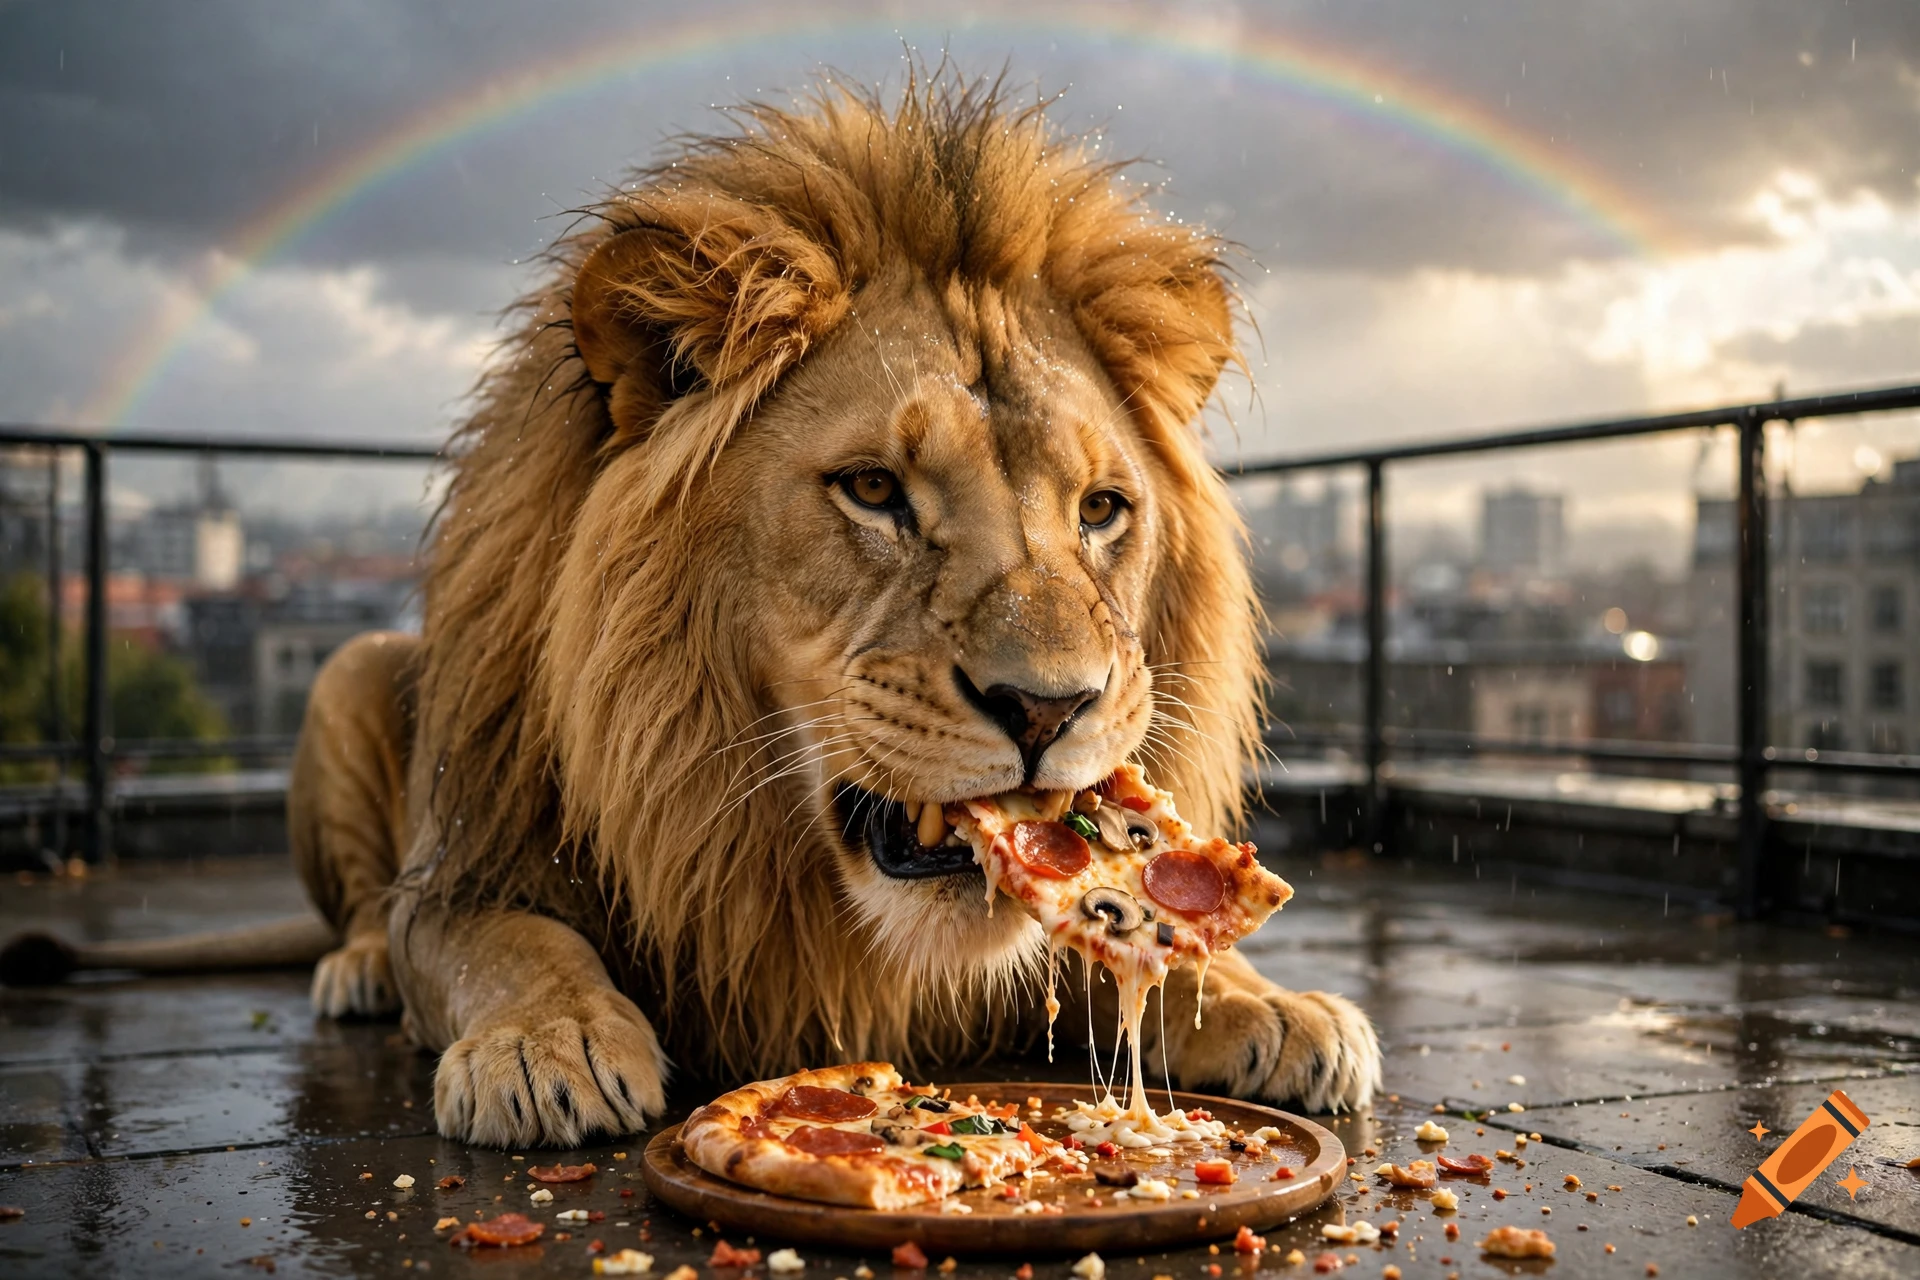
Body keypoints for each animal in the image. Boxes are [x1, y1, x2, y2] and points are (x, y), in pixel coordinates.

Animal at [13, 73, 1380, 1147]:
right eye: (873, 490)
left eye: (1102, 509)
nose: (1050, 708)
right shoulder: (471, 868)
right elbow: (501, 942)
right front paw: (549, 1046)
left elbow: (1135, 948)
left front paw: (1271, 1001)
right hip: (350, 668)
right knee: (364, 909)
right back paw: (354, 969)